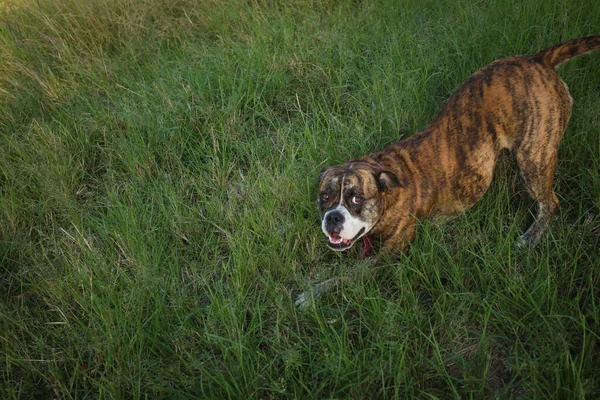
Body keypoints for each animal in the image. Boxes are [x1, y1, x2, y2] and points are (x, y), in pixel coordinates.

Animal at [296, 35, 600, 310]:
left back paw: (532, 236)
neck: (387, 186)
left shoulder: (389, 256)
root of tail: (538, 59)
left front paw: (312, 294)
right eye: (325, 197)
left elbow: (348, 275)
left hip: (534, 157)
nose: (333, 218)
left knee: (549, 201)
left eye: (356, 198)